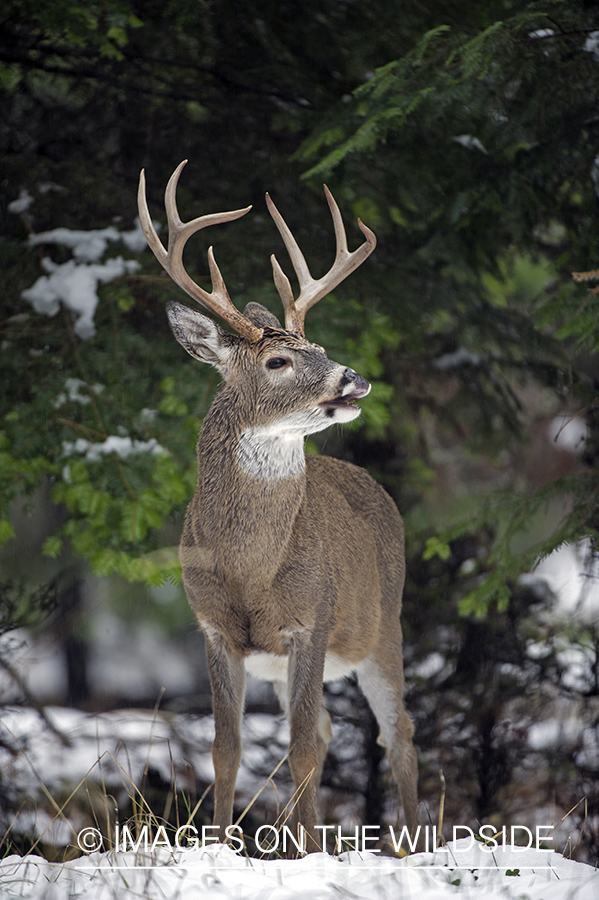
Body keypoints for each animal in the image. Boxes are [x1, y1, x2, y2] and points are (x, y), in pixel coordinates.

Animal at [138, 158, 420, 856]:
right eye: (279, 359)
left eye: (319, 347)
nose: (354, 379)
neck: (250, 569)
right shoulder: (212, 629)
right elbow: (226, 749)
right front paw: (223, 847)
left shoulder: (311, 621)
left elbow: (299, 752)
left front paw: (311, 857)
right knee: (327, 731)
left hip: (384, 626)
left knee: (396, 732)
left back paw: (411, 845)